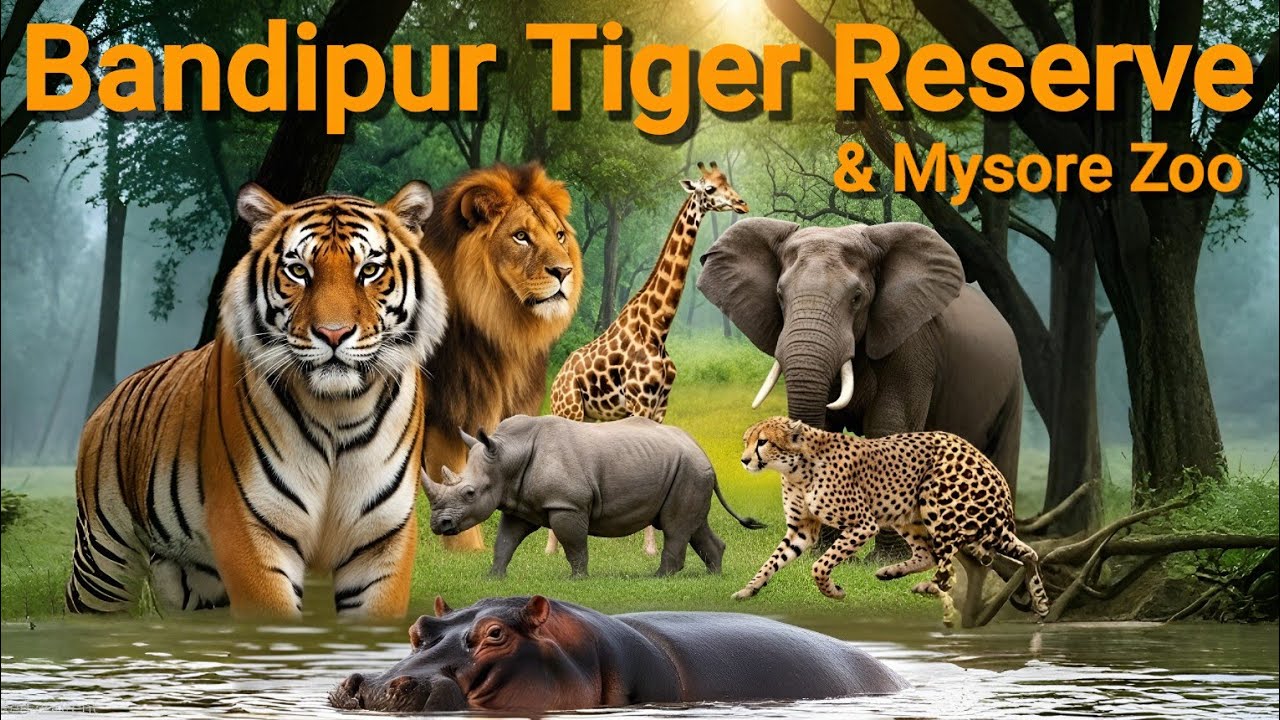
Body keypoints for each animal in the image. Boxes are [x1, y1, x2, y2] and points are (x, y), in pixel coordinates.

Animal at [66, 181, 448, 619]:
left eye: (369, 270)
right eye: (298, 271)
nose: (333, 334)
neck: (338, 410)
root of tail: (106, 400)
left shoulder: (381, 540)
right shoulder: (250, 531)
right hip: (102, 564)